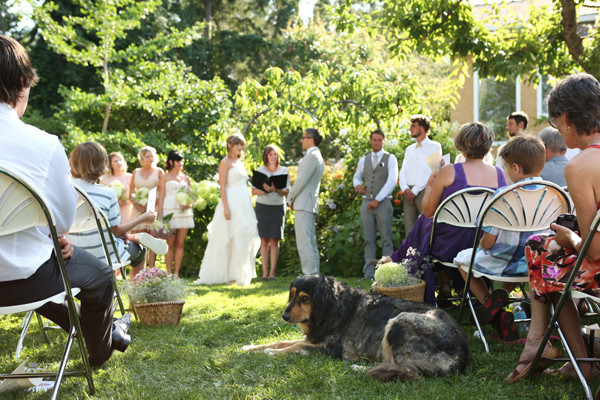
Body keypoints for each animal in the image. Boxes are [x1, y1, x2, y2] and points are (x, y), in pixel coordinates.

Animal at [243, 276, 468, 382]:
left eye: (305, 298)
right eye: (292, 294)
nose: (285, 316)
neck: (331, 307)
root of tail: (462, 354)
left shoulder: (331, 349)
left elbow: (294, 347)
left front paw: (269, 352)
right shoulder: (314, 339)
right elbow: (282, 341)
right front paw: (250, 347)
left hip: (399, 322)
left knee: (406, 369)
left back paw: (359, 368)